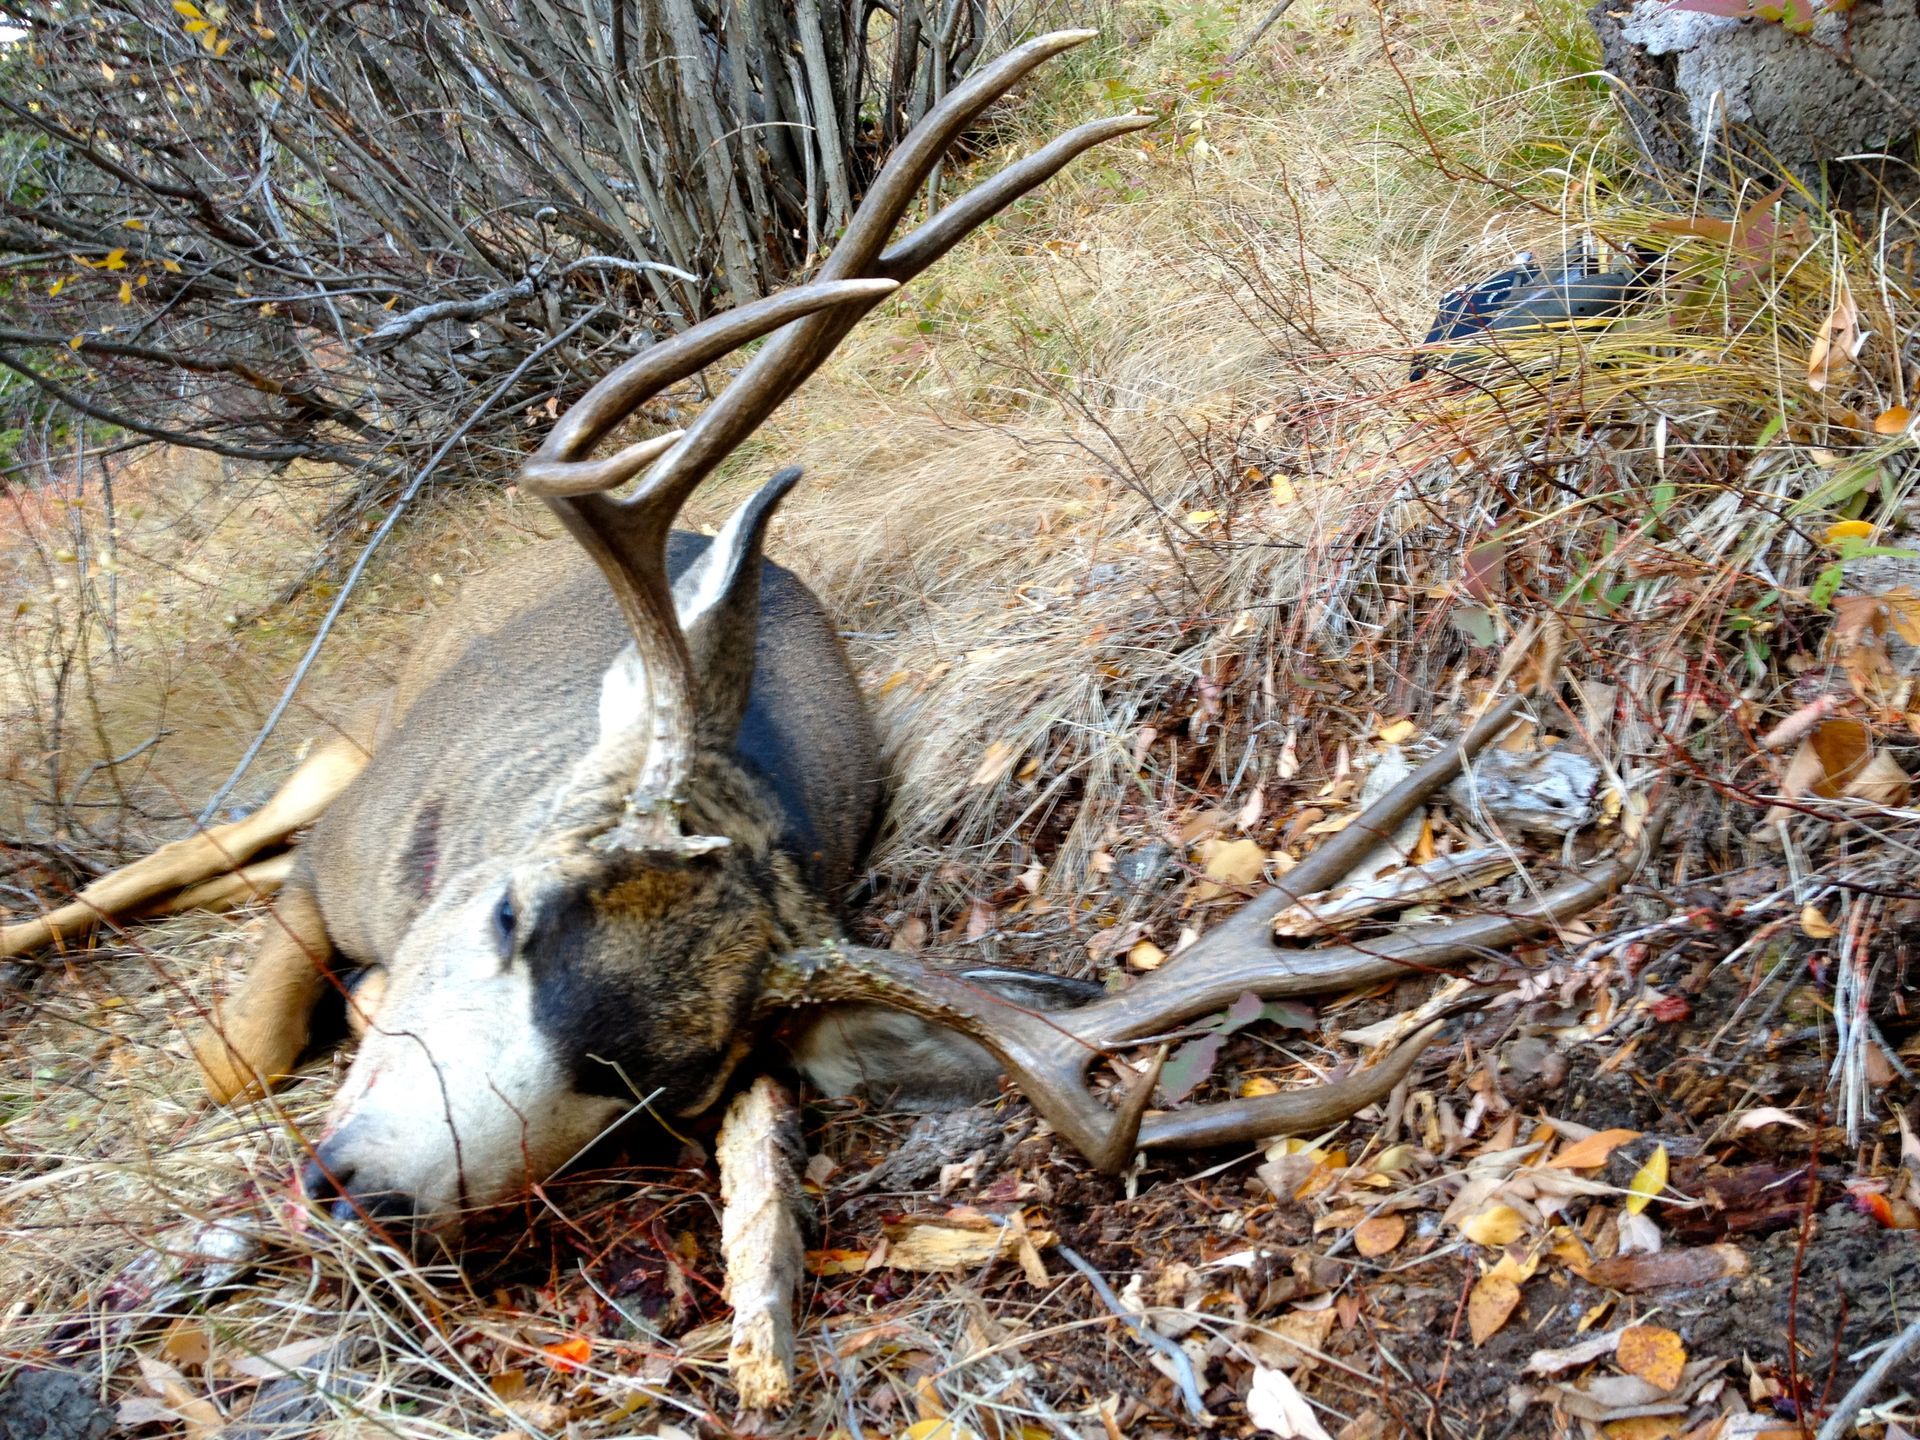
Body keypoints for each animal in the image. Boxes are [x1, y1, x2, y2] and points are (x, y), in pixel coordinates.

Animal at [0, 31, 1653, 1235]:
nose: (364, 1186)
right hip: (340, 744)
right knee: (193, 853)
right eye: (509, 916)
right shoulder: (352, 867)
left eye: (651, 1085)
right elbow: (229, 1055)